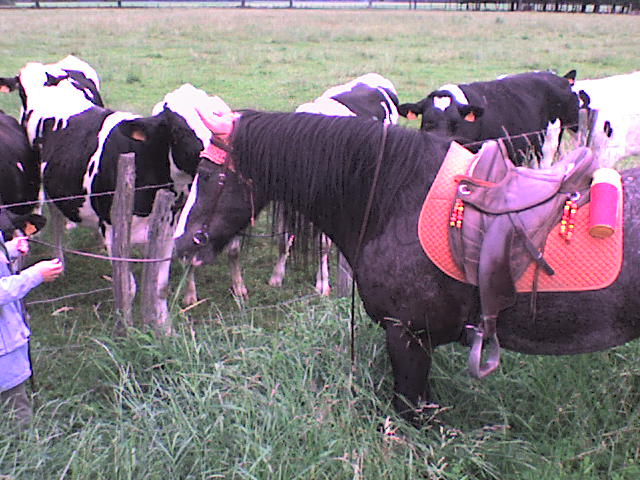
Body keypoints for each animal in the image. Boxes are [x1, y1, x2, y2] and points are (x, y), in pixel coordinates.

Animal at [174, 110, 640, 422]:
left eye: (210, 175)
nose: (182, 243)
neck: (394, 198)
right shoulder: (419, 342)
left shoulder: (407, 337)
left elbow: (410, 414)